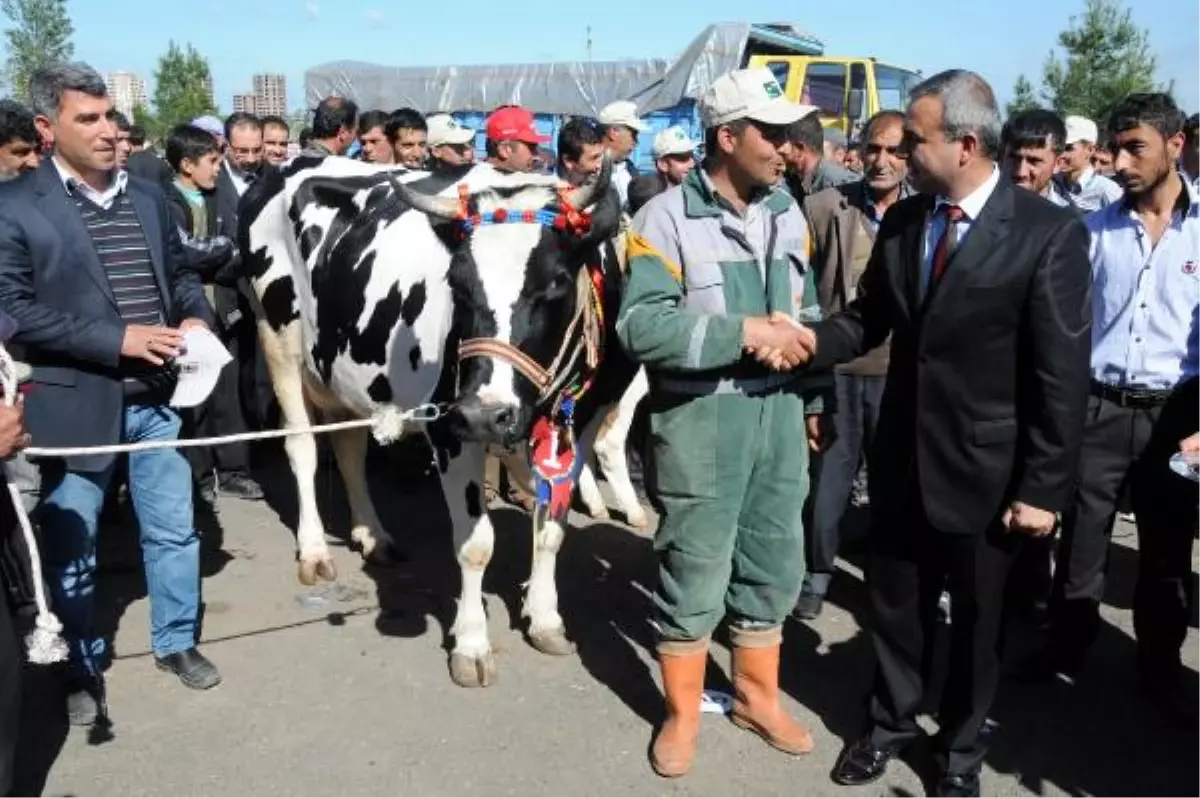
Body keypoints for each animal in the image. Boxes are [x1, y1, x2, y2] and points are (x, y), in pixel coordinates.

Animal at [236, 156, 638, 686]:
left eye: (554, 282)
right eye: (458, 285)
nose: (486, 413)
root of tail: (284, 164)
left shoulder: (582, 424)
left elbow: (550, 529)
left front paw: (546, 618)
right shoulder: (451, 429)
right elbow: (475, 544)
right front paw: (471, 643)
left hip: (342, 367)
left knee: (349, 450)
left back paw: (374, 536)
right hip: (276, 336)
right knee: (302, 448)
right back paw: (316, 550)